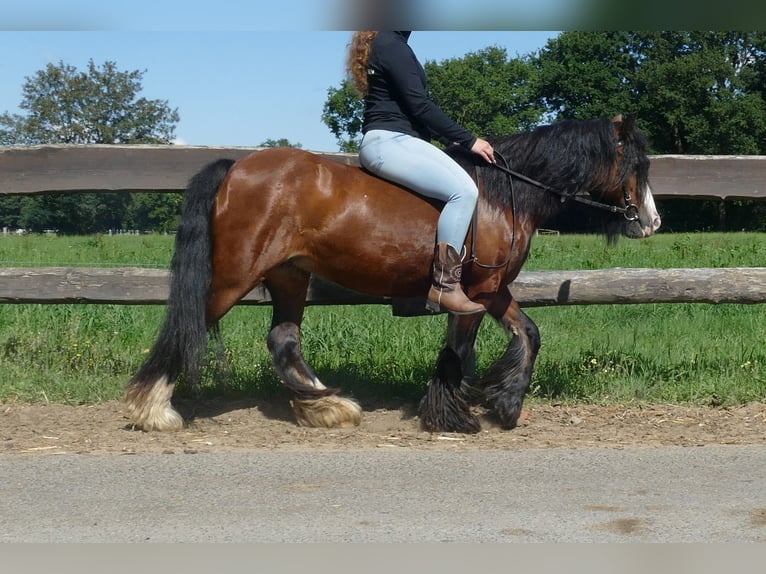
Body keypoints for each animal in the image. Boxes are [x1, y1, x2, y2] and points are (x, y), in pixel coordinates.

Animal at [124, 114, 661, 434]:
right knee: (188, 326)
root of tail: (235, 169)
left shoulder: (491, 291)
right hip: (234, 277)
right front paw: (459, 415)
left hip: (289, 276)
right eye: (636, 164)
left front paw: (498, 405)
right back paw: (153, 410)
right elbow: (466, 348)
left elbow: (525, 335)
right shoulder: (475, 293)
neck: (500, 195)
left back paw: (327, 406)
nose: (651, 222)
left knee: (284, 340)